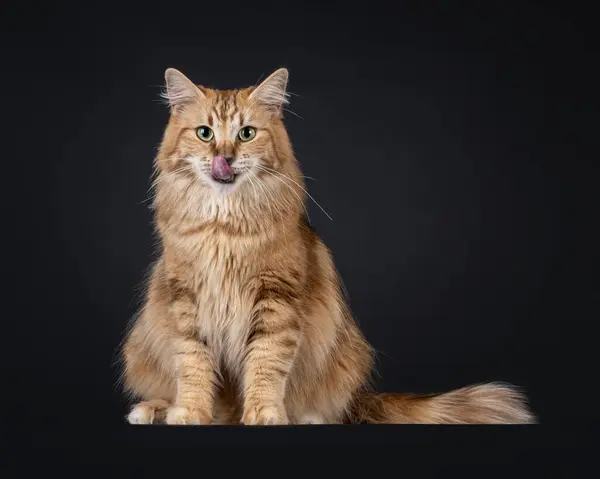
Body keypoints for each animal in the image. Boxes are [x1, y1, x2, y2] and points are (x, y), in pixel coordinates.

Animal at [117, 66, 536, 424]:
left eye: (246, 134)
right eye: (204, 133)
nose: (225, 157)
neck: (225, 229)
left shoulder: (277, 300)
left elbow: (266, 366)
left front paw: (265, 414)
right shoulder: (185, 300)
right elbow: (193, 365)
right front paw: (189, 412)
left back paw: (303, 415)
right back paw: (155, 409)